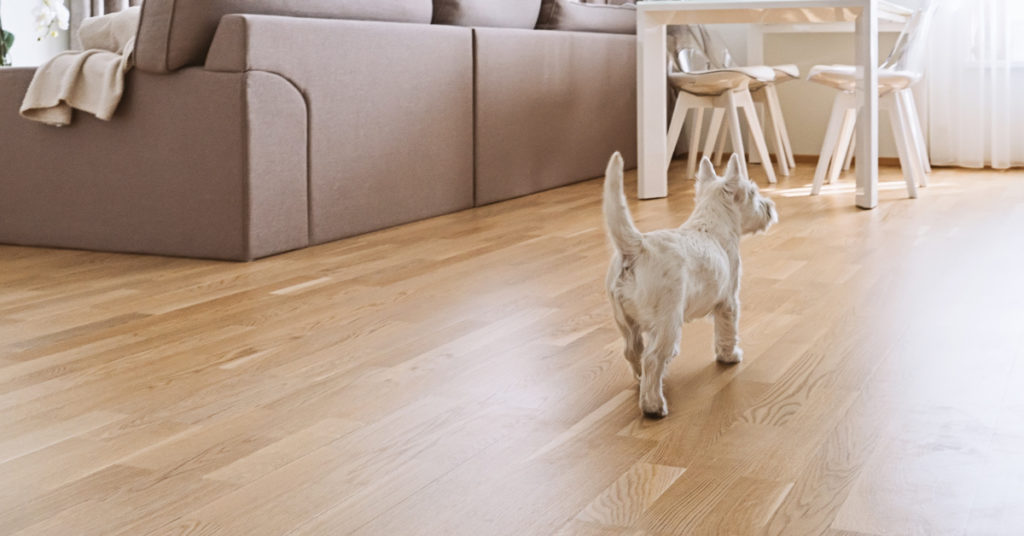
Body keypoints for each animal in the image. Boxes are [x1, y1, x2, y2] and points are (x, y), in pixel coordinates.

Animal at [598, 150, 774, 420]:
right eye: (753, 193)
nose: (770, 207)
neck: (711, 225)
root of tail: (637, 248)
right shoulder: (728, 300)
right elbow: (727, 331)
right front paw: (730, 357)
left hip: (624, 320)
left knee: (633, 350)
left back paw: (641, 382)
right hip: (668, 321)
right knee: (653, 358)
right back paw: (653, 405)